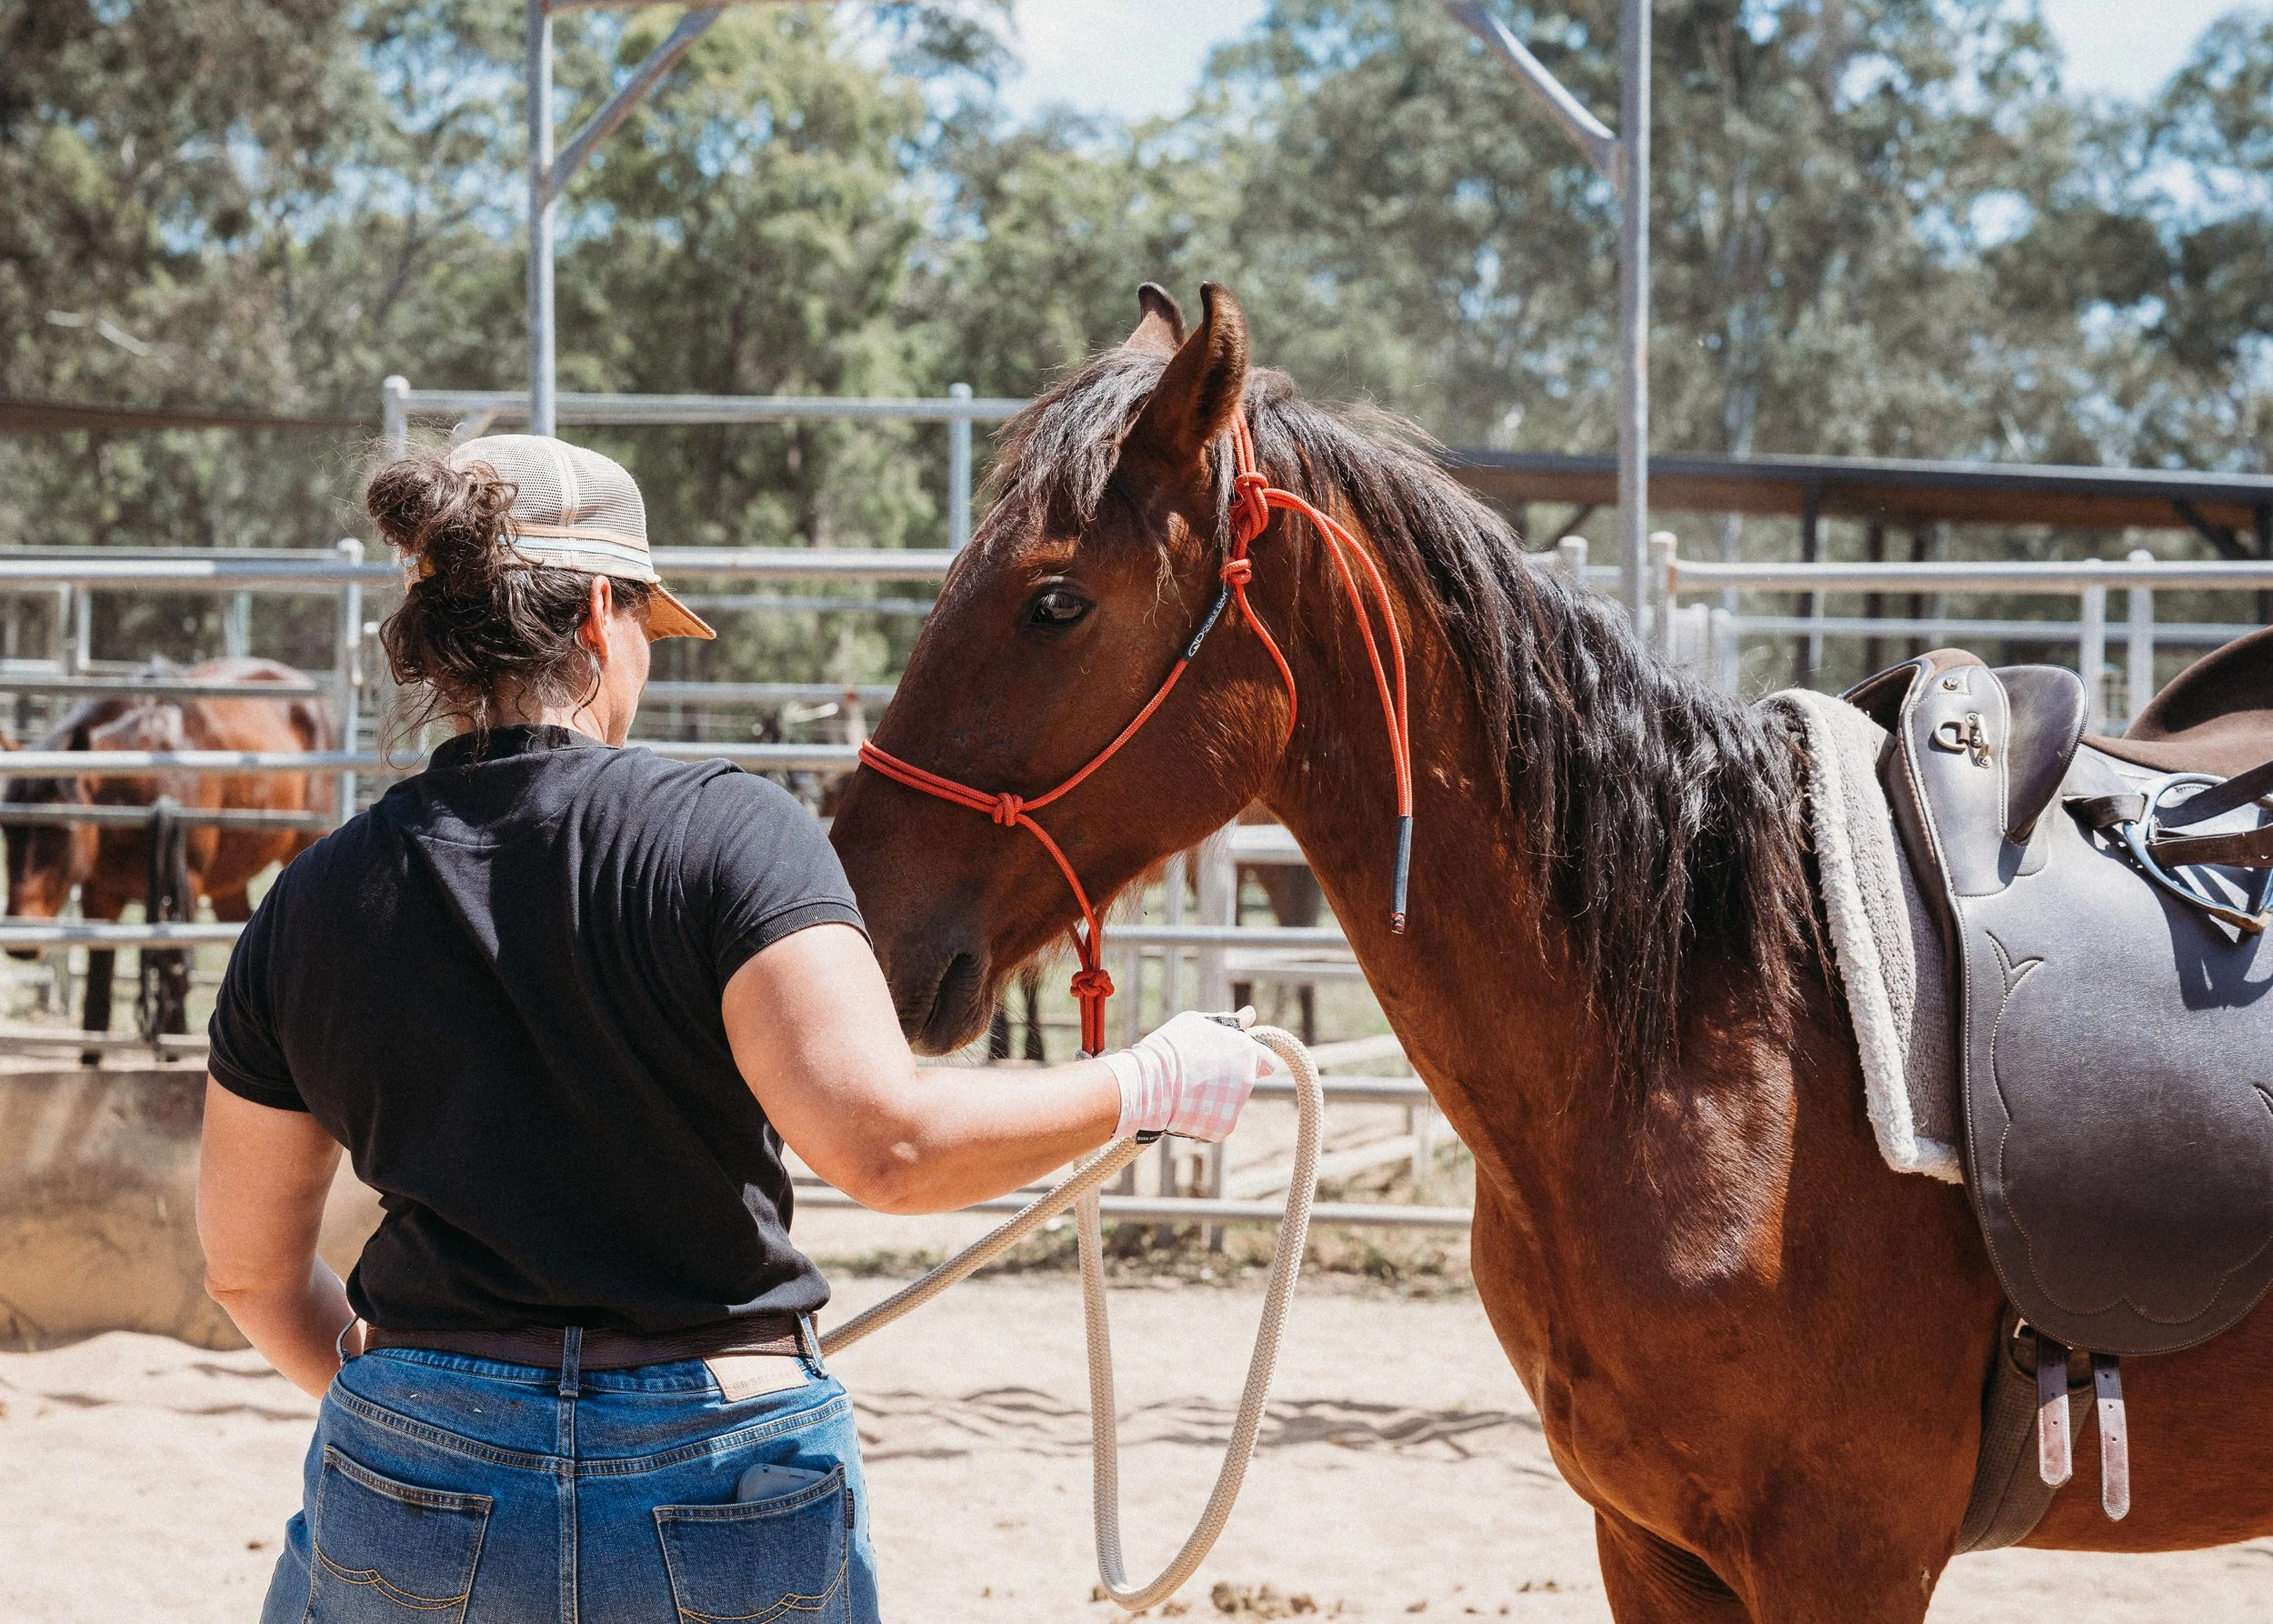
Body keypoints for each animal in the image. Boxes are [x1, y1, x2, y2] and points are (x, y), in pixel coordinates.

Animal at [4, 657, 333, 1035]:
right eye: (6, 828)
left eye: (64, 827)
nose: (22, 939)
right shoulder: (99, 899)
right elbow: (97, 1005)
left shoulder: (183, 892)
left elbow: (174, 996)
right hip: (229, 886)